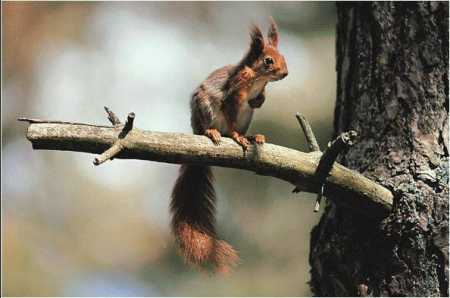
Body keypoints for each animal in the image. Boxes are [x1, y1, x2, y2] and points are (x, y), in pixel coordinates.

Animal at [169, 16, 288, 272]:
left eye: (283, 57)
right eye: (268, 60)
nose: (285, 73)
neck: (258, 78)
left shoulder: (254, 96)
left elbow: (258, 100)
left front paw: (260, 101)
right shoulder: (234, 93)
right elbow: (230, 111)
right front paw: (236, 136)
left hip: (247, 117)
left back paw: (253, 137)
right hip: (204, 107)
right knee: (215, 126)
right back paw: (215, 133)